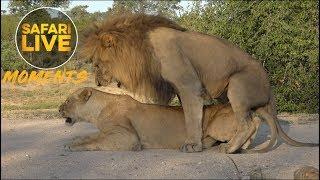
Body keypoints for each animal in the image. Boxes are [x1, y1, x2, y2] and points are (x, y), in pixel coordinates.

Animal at [80, 13, 318, 153]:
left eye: (97, 63)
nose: (97, 83)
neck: (143, 49)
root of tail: (269, 88)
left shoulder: (189, 86)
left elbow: (192, 117)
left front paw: (193, 144)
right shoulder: (177, 88)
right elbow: (186, 116)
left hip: (237, 84)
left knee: (248, 122)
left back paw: (230, 148)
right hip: (225, 92)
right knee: (251, 120)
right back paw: (240, 146)